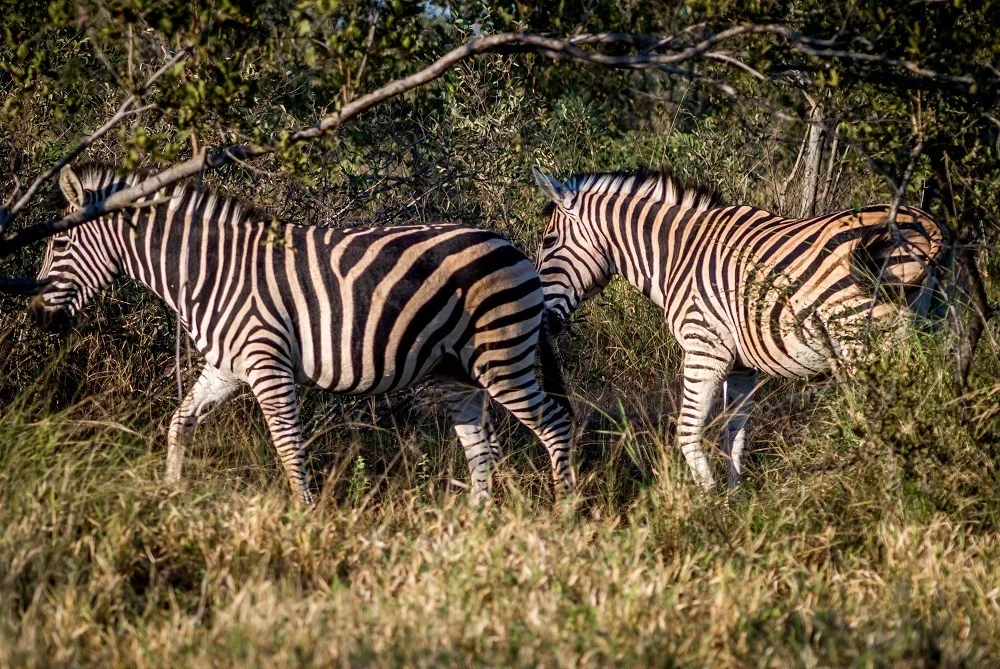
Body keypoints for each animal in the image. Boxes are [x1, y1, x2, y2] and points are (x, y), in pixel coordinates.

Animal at [29, 164, 580, 504]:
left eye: (58, 243)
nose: (35, 316)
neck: (209, 271)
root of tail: (511, 246)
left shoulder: (267, 364)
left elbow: (288, 447)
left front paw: (305, 519)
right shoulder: (225, 367)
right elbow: (179, 423)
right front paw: (171, 494)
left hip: (501, 357)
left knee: (555, 424)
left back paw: (564, 513)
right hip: (456, 371)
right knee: (481, 448)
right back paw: (474, 527)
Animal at [532, 166, 944, 490]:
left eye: (548, 241)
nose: (538, 323)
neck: (678, 255)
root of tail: (923, 222)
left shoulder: (704, 346)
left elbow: (688, 429)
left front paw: (709, 502)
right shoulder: (743, 365)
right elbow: (734, 432)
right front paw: (736, 498)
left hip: (865, 340)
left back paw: (883, 491)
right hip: (928, 327)